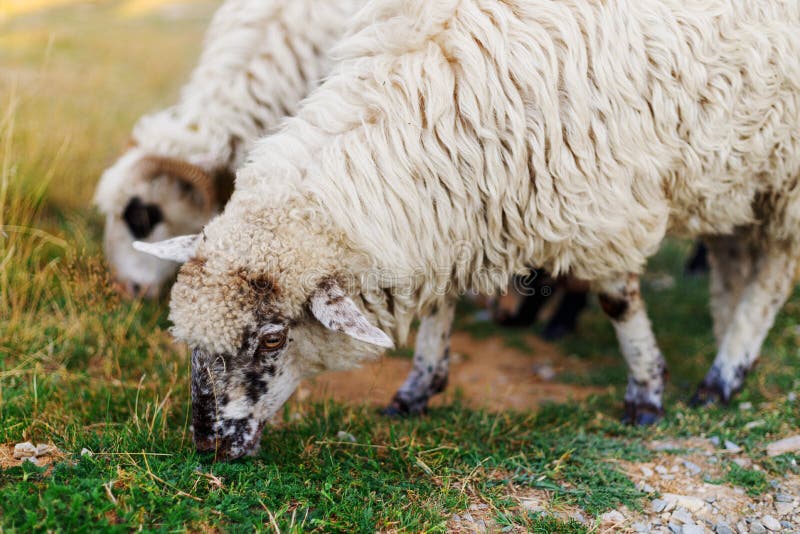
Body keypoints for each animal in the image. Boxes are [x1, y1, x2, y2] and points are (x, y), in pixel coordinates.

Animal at [136, 0, 800, 460]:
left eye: (273, 339)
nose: (207, 446)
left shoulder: (603, 202)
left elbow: (617, 300)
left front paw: (646, 393)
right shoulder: (453, 209)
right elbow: (439, 304)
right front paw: (419, 386)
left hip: (783, 176)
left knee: (774, 270)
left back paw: (723, 375)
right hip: (733, 173)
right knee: (736, 257)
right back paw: (726, 339)